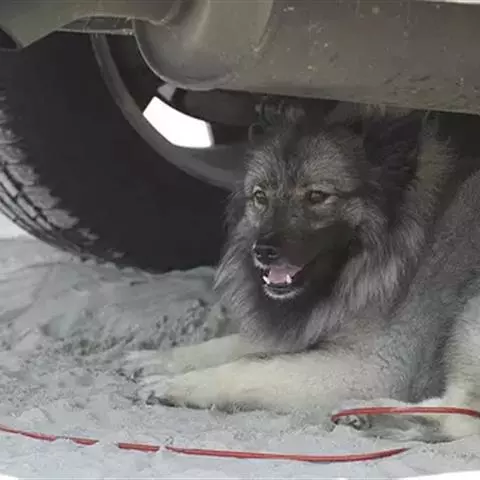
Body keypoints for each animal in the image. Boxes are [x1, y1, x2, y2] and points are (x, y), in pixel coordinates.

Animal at [123, 104, 480, 443]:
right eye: (260, 197)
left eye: (316, 196)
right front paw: (160, 359)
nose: (262, 251)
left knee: (460, 418)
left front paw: (176, 385)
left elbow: (251, 367)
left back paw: (371, 412)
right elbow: (238, 344)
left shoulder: (375, 367)